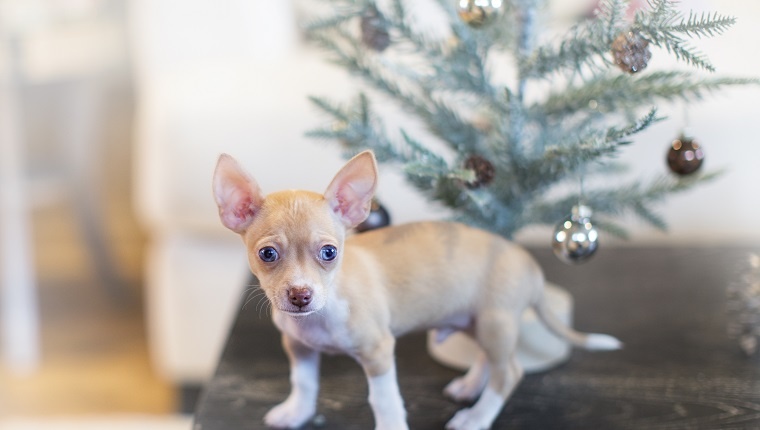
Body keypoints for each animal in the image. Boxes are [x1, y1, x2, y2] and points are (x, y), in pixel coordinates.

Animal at [211, 151, 620, 430]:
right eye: (267, 254)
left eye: (329, 253)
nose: (300, 296)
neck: (321, 315)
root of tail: (529, 264)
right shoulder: (298, 347)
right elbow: (304, 382)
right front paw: (298, 412)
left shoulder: (379, 352)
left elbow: (384, 400)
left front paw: (391, 426)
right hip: (476, 320)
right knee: (490, 360)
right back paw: (470, 386)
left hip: (495, 322)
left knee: (509, 373)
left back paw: (476, 417)